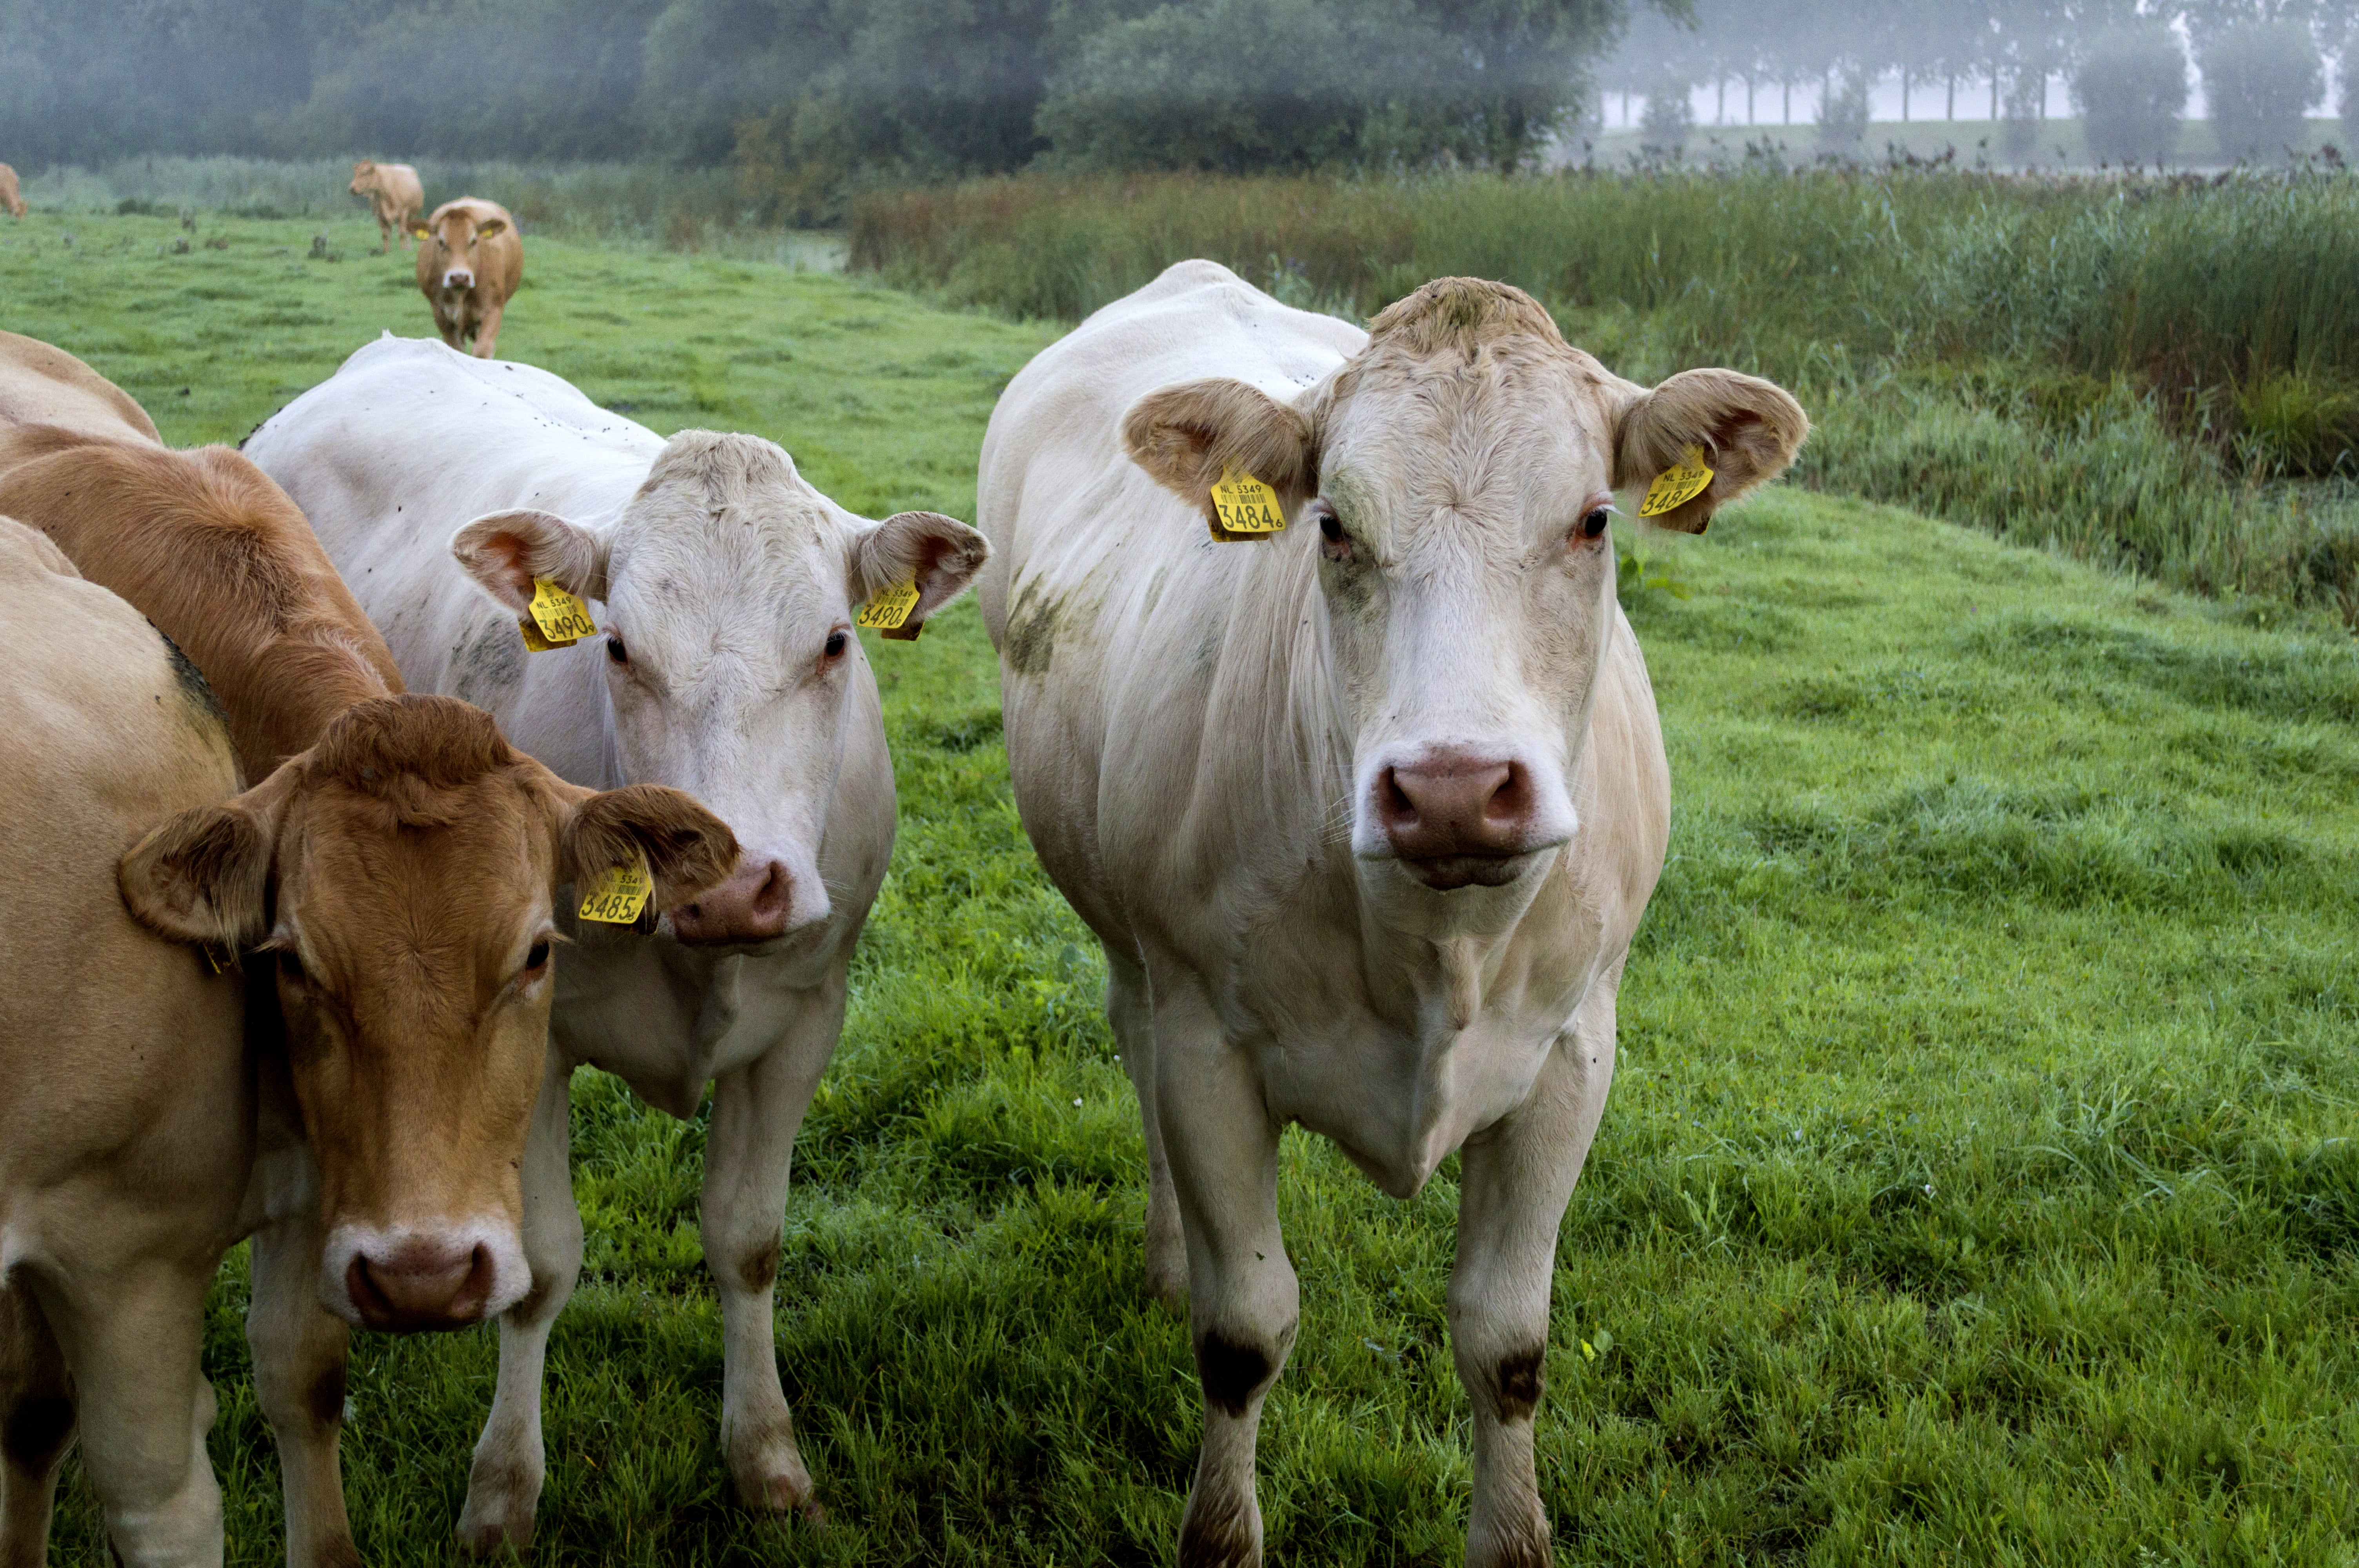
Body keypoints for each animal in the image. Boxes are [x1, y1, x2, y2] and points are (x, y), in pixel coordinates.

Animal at [0, 332, 741, 1568]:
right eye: (295, 959)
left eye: (535, 952)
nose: (427, 1273)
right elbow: (37, 1416)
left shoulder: (320, 1189)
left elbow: (302, 1380)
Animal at [244, 333, 989, 1551]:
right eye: (623, 648)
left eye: (835, 642)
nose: (734, 883)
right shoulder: (531, 1038)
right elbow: (542, 1266)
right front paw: (503, 1488)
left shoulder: (808, 1021)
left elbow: (747, 1240)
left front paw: (767, 1457)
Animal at [348, 159, 424, 255]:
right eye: (355, 173)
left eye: (364, 173)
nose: (352, 188)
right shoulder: (380, 215)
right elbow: (385, 235)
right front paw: (386, 252)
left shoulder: (404, 212)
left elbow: (402, 234)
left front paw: (403, 252)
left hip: (412, 215)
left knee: (407, 231)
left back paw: (408, 249)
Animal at [414, 198, 521, 358]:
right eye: (441, 242)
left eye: (474, 241)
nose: (459, 277)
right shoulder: (440, 313)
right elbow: (456, 349)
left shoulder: (494, 308)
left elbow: (482, 351)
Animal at [974, 261, 1807, 1568]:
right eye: (1331, 525)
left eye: (1593, 519)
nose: (1456, 788)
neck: (1436, 951)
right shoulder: (1210, 1049)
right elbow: (1245, 1332)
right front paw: (1221, 1532)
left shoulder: (1573, 1053)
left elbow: (1505, 1341)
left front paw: (1512, 1535)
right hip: (1130, 943)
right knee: (1134, 1043)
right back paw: (1169, 1255)